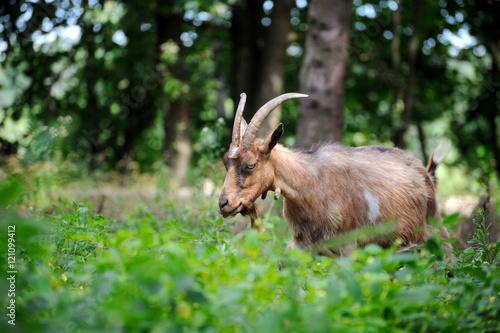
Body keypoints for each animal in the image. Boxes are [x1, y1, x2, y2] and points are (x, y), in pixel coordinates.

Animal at [219, 92, 454, 254]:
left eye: (251, 165)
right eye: (225, 162)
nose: (223, 204)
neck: (309, 185)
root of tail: (426, 174)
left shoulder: (347, 247)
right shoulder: (302, 244)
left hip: (435, 229)